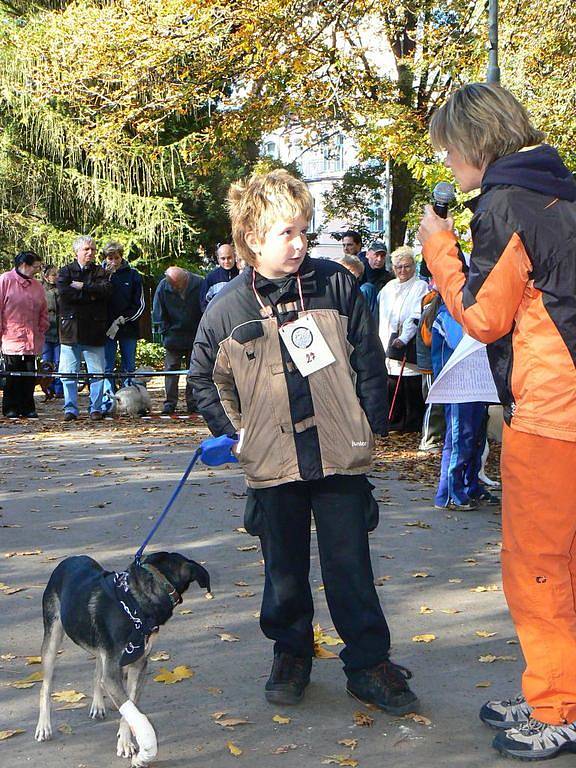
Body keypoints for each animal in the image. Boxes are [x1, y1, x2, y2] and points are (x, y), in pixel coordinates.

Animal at [34, 556, 209, 764]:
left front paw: (126, 743)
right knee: (45, 687)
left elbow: (129, 709)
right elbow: (131, 710)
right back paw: (44, 727)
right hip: (52, 638)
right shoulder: (113, 673)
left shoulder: (138, 668)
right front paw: (141, 748)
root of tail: (70, 559)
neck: (134, 607)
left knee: (97, 672)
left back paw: (98, 705)